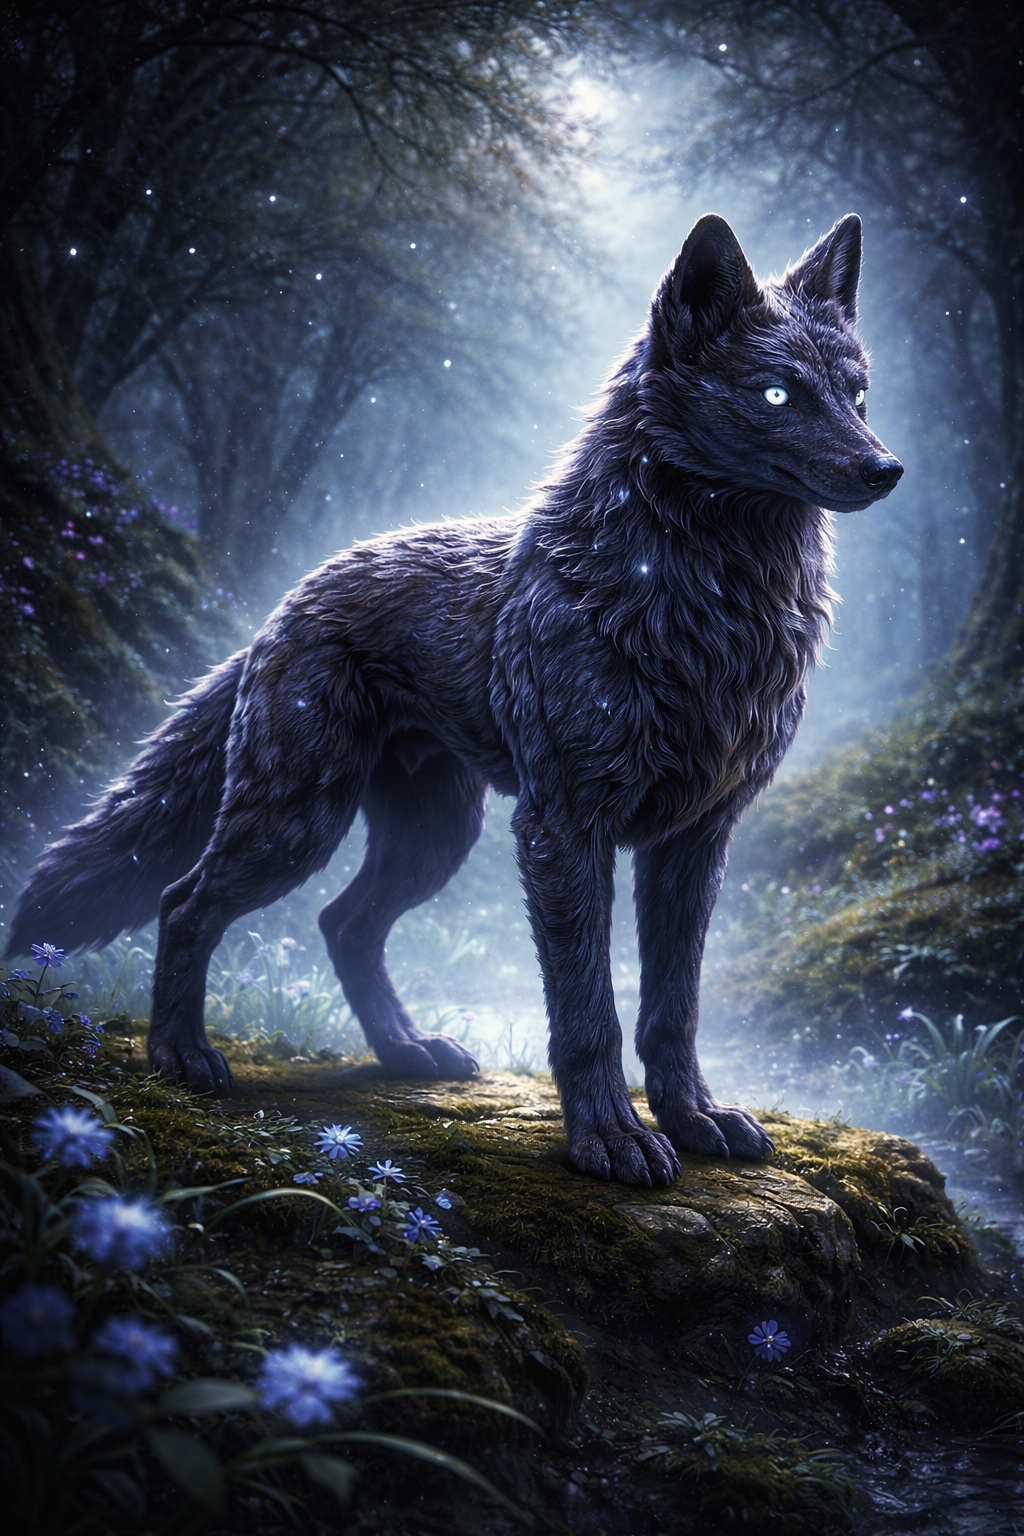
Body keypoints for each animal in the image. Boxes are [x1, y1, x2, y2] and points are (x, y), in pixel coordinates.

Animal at [10, 214, 901, 1186]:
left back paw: (405, 1052)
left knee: (342, 924)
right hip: (298, 826)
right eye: (777, 395)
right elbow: (589, 1010)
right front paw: (611, 1139)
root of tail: (285, 604)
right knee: (185, 902)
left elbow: (674, 1008)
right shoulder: (564, 830)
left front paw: (695, 1117)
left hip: (432, 840)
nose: (886, 468)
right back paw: (181, 1057)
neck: (703, 606)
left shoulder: (694, 843)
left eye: (858, 394)